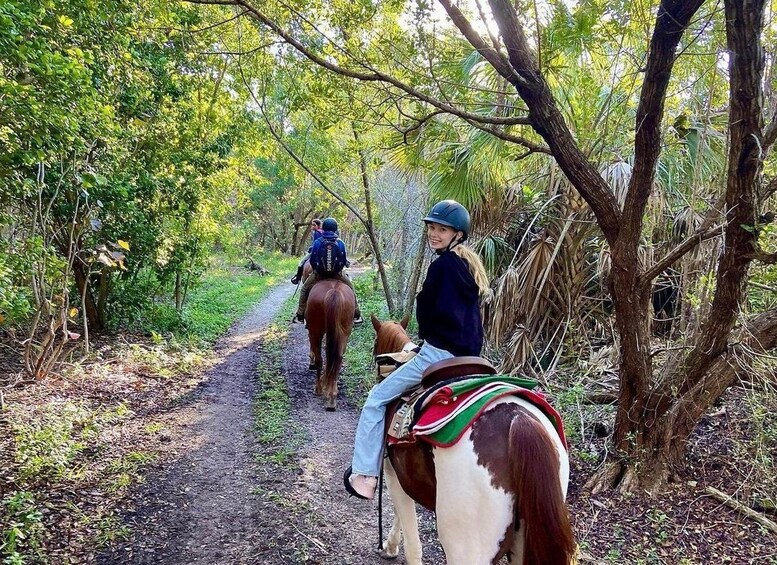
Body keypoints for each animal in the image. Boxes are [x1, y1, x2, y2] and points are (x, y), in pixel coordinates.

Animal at [304, 280, 354, 408]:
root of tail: (334, 292)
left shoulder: (312, 330)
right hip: (344, 332)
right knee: (338, 358)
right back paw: (332, 396)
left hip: (316, 329)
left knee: (320, 359)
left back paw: (319, 388)